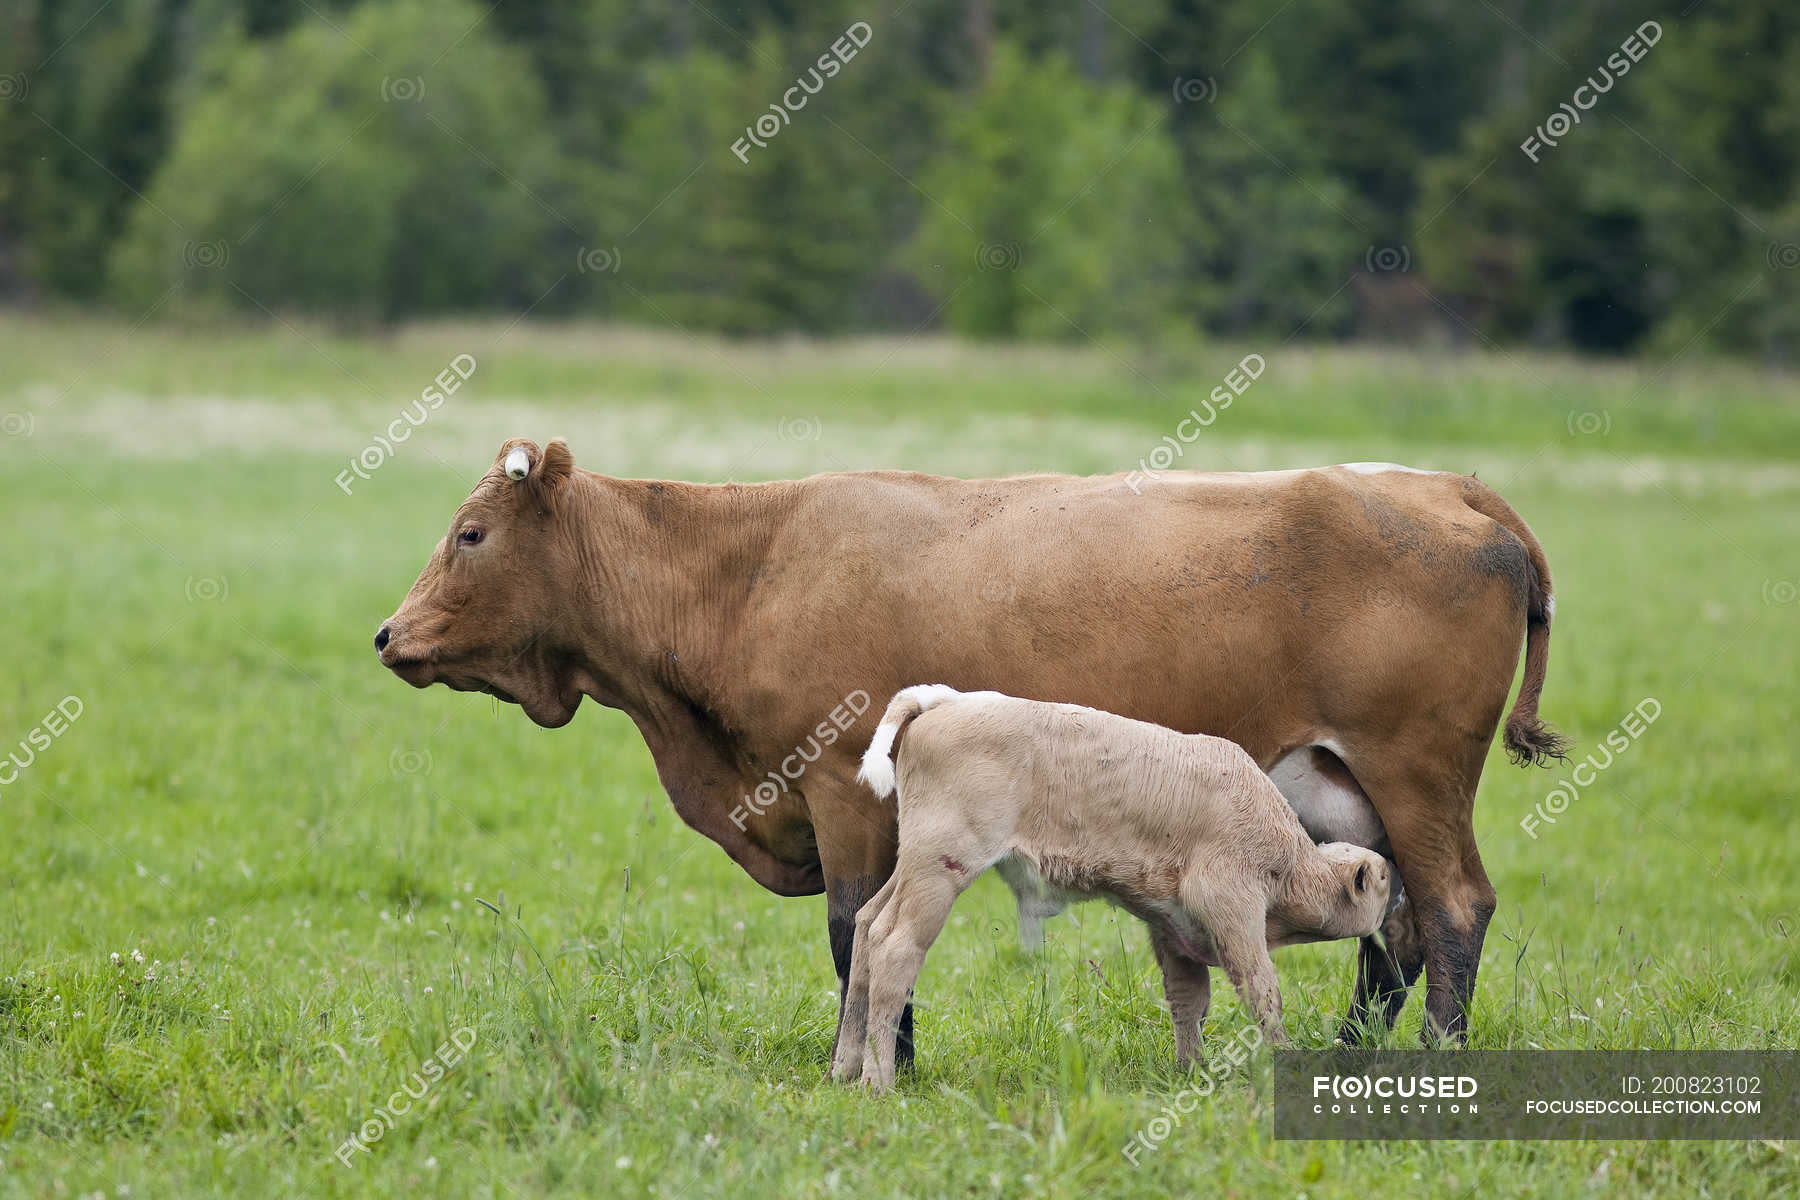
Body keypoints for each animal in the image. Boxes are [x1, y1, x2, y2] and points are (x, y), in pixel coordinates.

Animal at [833, 685, 1394, 1091]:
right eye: (1385, 879)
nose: (1401, 894)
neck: (1286, 865)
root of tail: (945, 698)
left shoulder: (1174, 927)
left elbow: (1188, 1001)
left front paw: (1193, 1071)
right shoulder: (1231, 906)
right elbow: (1262, 991)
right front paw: (1280, 1057)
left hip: (912, 864)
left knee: (866, 927)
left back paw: (845, 1066)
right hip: (940, 866)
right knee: (895, 946)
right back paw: (878, 1080)